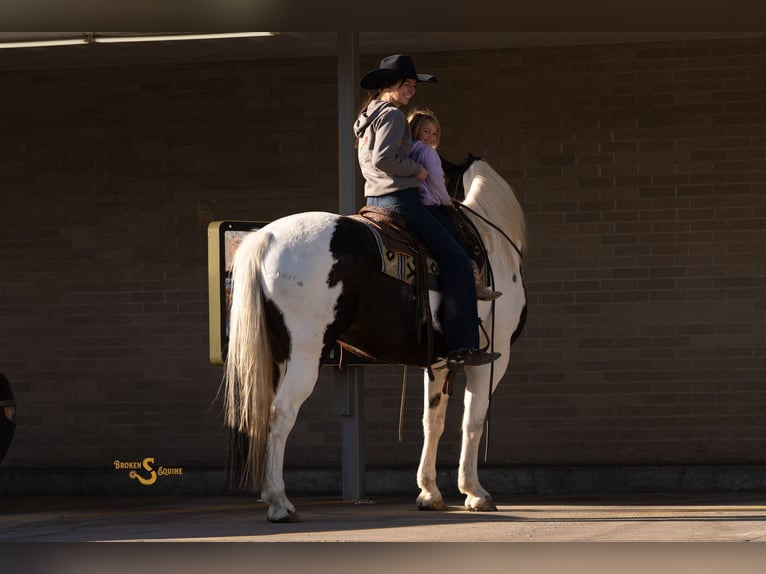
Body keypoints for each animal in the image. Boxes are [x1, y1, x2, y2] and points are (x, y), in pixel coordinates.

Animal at [223, 157, 528, 522]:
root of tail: (266, 237)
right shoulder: (491, 356)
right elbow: (473, 421)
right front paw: (475, 492)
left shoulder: (441, 362)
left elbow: (433, 421)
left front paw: (429, 492)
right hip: (306, 354)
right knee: (282, 413)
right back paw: (280, 502)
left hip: (278, 356)